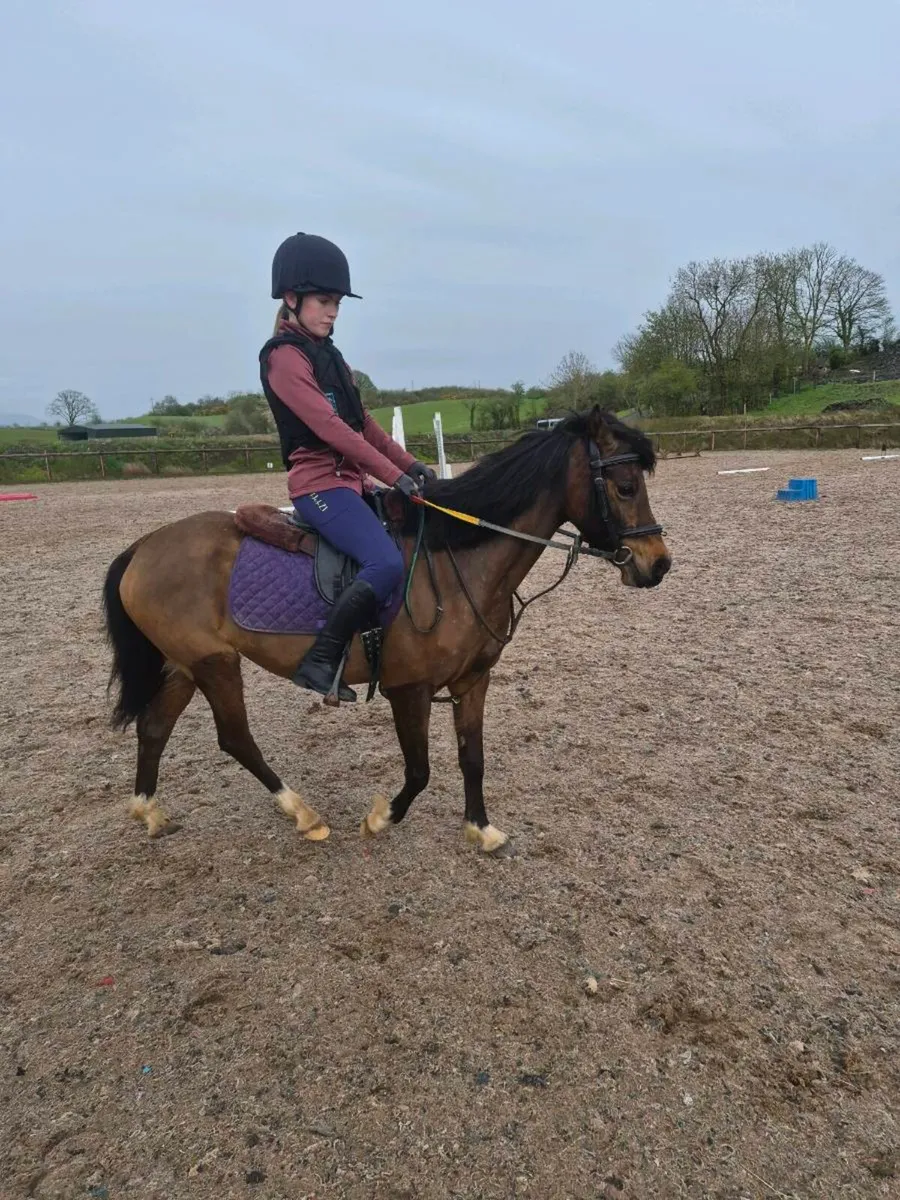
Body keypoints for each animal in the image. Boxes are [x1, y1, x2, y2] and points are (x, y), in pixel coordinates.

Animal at [102, 406, 670, 852]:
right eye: (625, 487)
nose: (658, 564)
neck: (456, 559)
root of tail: (144, 546)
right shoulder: (409, 689)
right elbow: (419, 771)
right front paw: (379, 819)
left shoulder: (473, 681)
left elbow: (473, 758)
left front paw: (481, 829)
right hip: (214, 664)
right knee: (236, 739)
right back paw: (303, 814)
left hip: (183, 666)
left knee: (154, 728)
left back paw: (150, 812)